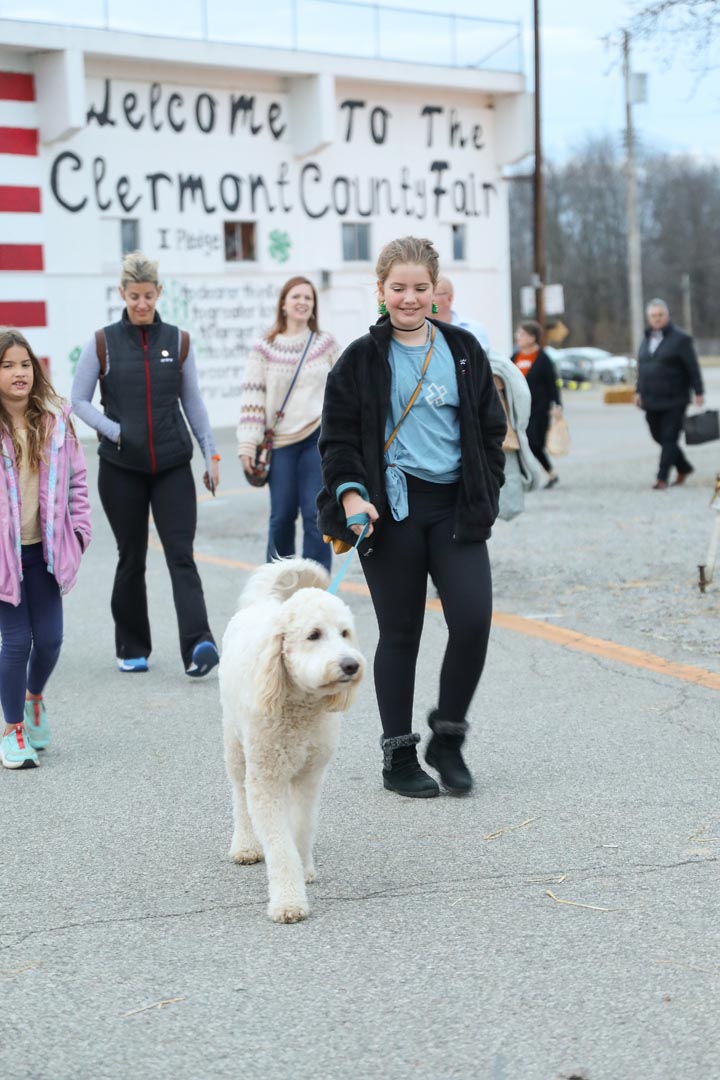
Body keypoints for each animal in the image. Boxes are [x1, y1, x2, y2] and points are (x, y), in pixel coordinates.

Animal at [219, 558, 365, 924]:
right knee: (239, 795)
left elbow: (300, 828)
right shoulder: (265, 779)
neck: (299, 704)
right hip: (236, 745)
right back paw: (245, 845)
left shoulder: (310, 775)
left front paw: (304, 869)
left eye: (345, 633)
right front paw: (288, 901)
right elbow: (280, 845)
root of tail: (262, 605)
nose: (351, 664)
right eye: (313, 635)